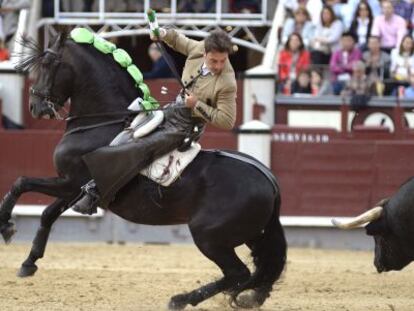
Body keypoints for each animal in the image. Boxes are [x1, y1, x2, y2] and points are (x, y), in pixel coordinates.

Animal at [0, 34, 286, 310]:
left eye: (48, 64)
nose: (35, 106)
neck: (103, 123)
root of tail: (270, 181)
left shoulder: (69, 182)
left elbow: (21, 182)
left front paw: (6, 227)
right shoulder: (74, 189)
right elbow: (47, 213)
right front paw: (29, 262)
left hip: (208, 236)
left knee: (238, 273)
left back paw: (180, 299)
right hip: (250, 235)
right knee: (258, 269)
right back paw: (247, 298)